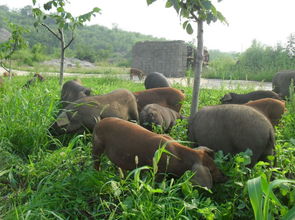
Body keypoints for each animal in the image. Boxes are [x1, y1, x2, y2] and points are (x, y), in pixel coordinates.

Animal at [93, 117, 228, 188]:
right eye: (211, 170)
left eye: (215, 164)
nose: (226, 177)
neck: (180, 157)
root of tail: (100, 122)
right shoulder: (160, 170)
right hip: (97, 146)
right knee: (96, 161)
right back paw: (97, 174)